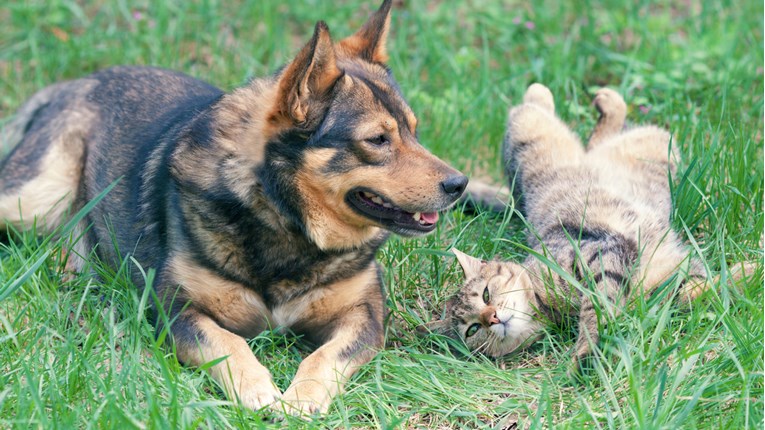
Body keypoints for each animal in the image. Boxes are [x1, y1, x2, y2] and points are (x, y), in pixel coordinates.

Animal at [0, 0, 466, 416]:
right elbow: (230, 344)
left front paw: (302, 397)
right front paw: (258, 391)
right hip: (34, 198)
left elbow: (324, 356)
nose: (459, 184)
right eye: (377, 140)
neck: (285, 220)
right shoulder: (177, 313)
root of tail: (80, 81)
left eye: (414, 131)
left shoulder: (364, 317)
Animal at [420, 85, 748, 372]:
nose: (493, 318)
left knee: (539, 106)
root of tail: (517, 202)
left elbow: (597, 309)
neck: (544, 304)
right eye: (473, 329)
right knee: (597, 137)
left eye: (487, 294)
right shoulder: (661, 286)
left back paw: (586, 98)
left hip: (535, 133)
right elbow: (698, 291)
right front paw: (746, 275)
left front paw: (585, 351)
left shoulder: (603, 251)